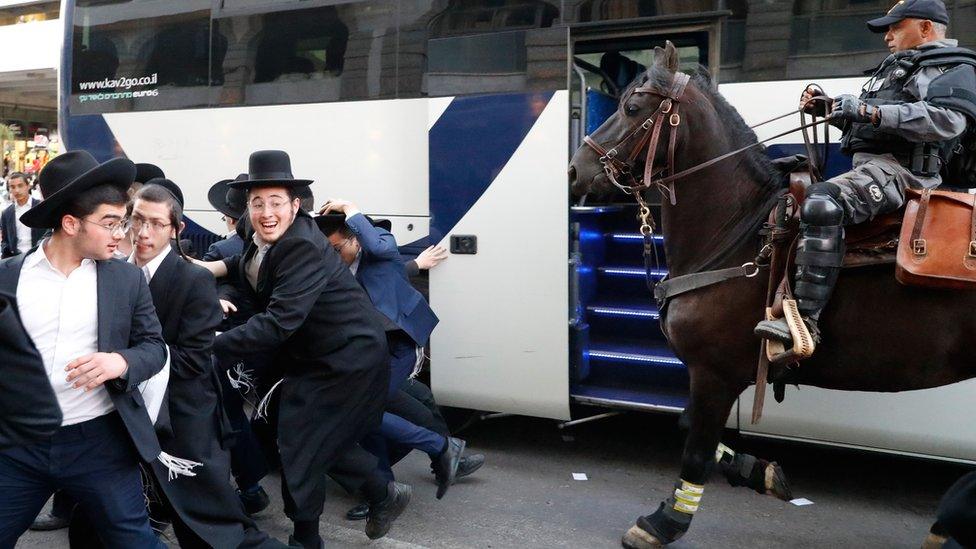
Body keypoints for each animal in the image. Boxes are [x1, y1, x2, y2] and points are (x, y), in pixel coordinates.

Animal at [568, 41, 972, 544]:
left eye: (631, 107)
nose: (574, 170)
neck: (739, 231)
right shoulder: (717, 374)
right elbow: (689, 425)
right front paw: (759, 471)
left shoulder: (714, 371)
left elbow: (695, 448)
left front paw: (664, 522)